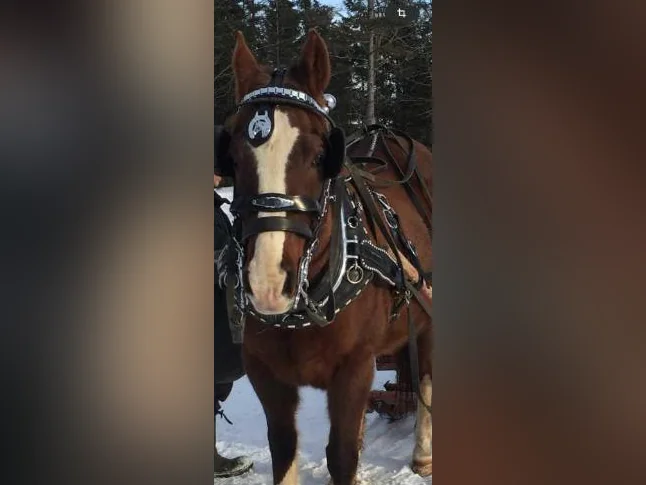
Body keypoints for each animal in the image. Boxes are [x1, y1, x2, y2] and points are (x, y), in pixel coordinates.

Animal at [214, 30, 433, 485]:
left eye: (319, 156)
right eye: (234, 159)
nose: (267, 285)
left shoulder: (354, 369)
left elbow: (342, 455)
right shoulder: (266, 375)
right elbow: (284, 448)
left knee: (425, 372)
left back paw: (422, 453)